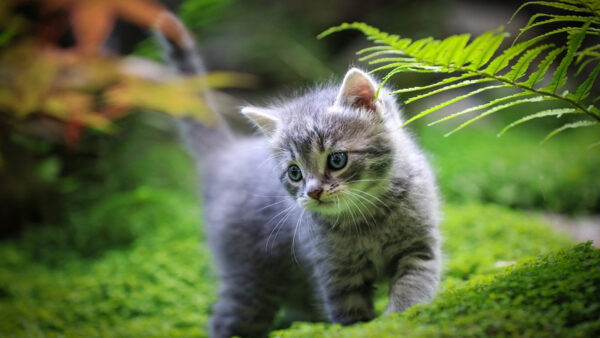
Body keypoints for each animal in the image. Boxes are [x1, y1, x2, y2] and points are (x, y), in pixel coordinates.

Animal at [159, 32, 440, 338]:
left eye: (337, 159)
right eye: (294, 173)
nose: (314, 192)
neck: (367, 218)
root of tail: (228, 156)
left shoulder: (418, 247)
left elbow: (413, 287)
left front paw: (401, 319)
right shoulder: (334, 272)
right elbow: (350, 315)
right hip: (250, 282)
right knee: (226, 321)